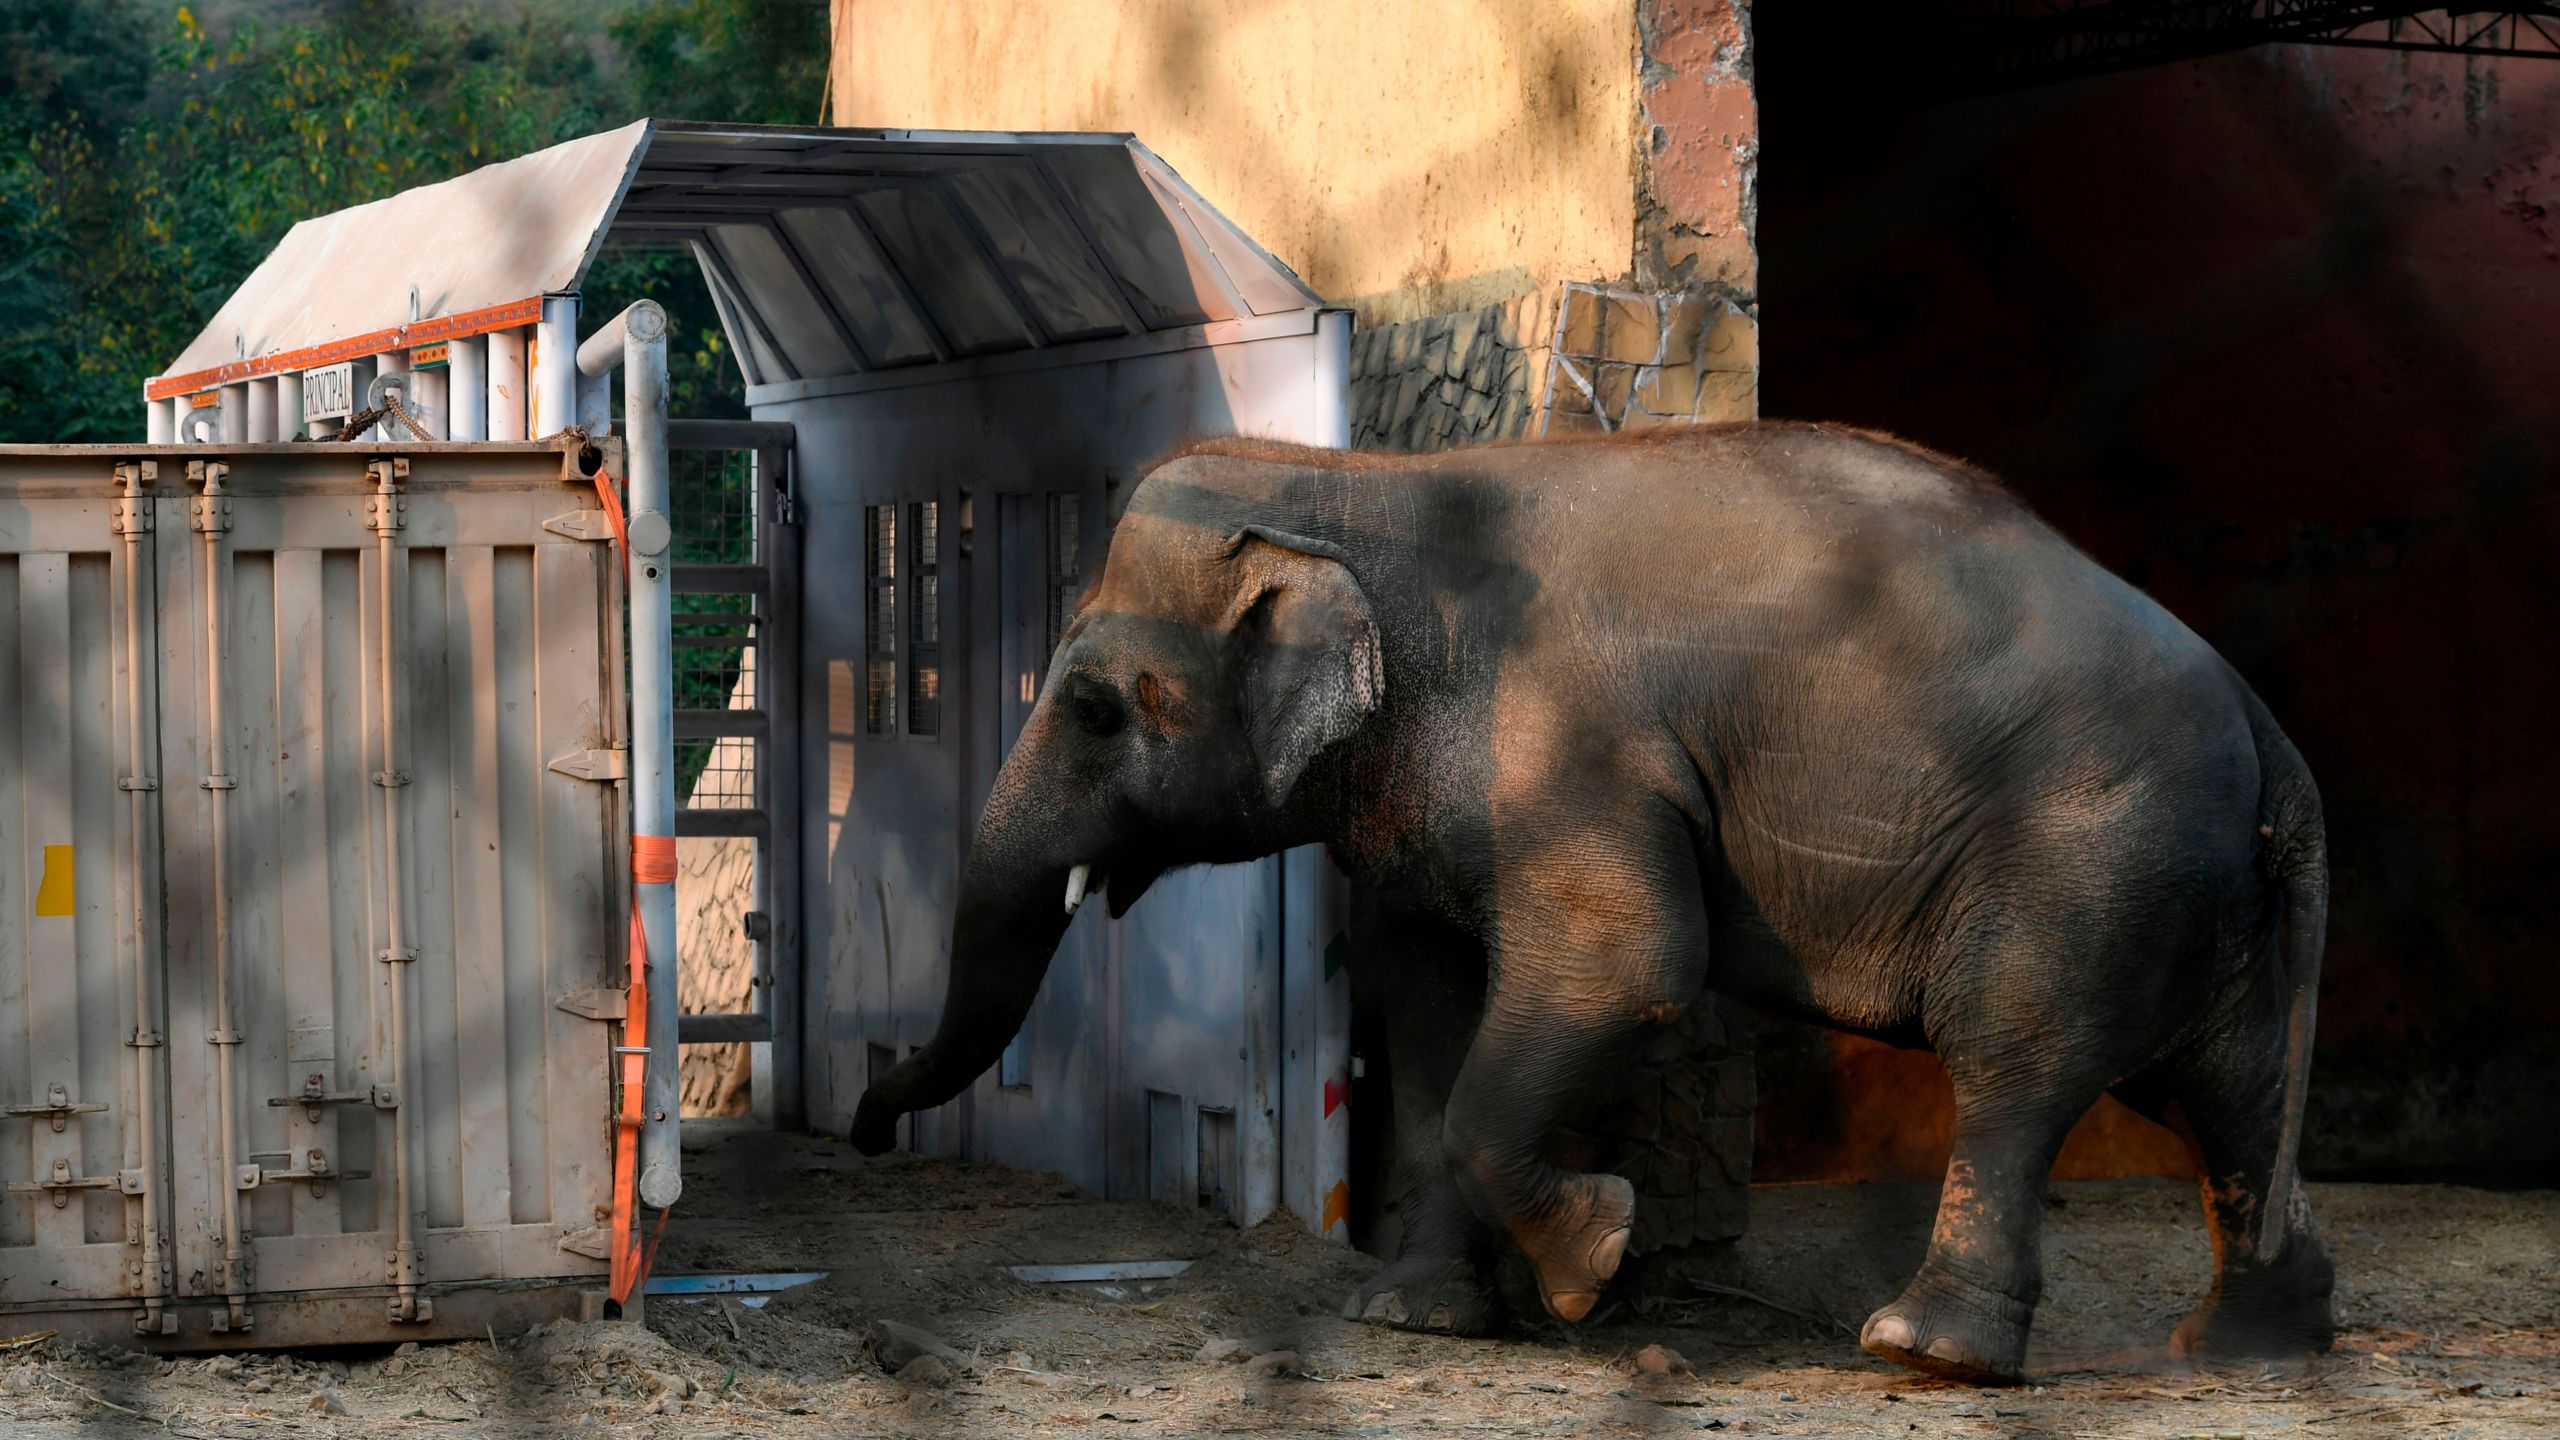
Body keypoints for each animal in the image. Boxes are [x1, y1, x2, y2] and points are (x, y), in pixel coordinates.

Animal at [849, 422, 2334, 1383]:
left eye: (1097, 709)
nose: (863, 1123)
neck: (1363, 491)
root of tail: (2271, 726)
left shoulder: (1566, 738)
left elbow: (1628, 965)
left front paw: (1592, 1261)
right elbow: (1429, 1005)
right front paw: (1417, 1323)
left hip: (2087, 850)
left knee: (2019, 1058)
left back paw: (1926, 1354)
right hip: (2196, 890)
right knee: (2224, 1087)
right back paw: (2254, 1347)